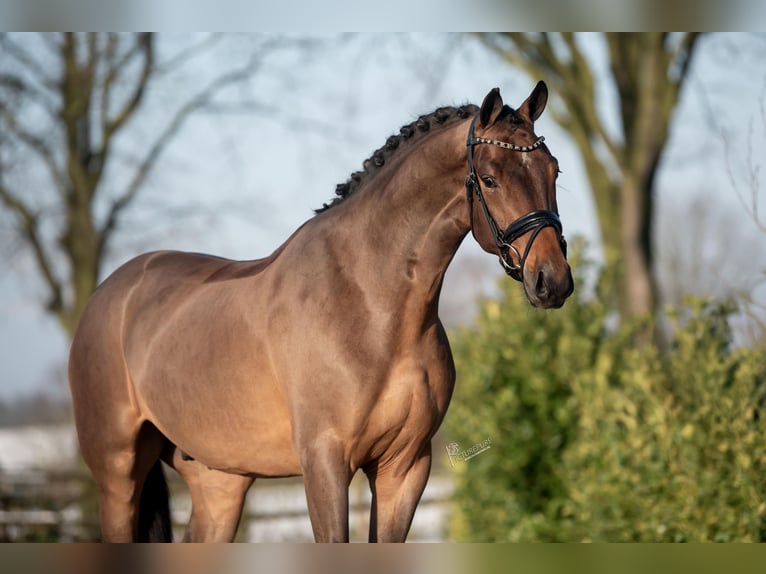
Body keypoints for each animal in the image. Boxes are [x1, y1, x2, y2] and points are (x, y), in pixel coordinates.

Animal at [69, 82, 572, 544]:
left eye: (553, 170)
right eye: (489, 178)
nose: (552, 281)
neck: (370, 303)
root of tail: (110, 294)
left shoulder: (405, 468)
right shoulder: (324, 464)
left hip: (219, 480)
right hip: (117, 474)